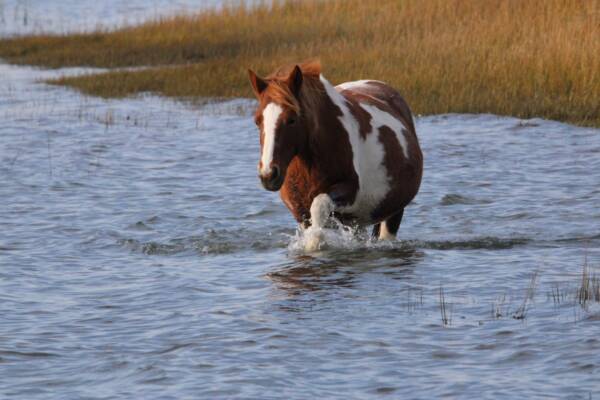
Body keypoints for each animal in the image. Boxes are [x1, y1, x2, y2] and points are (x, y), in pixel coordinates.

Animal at [247, 60, 422, 247]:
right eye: (257, 121)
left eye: (292, 119)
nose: (268, 175)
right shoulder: (300, 211)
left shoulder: (350, 190)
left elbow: (319, 206)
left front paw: (315, 243)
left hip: (393, 213)